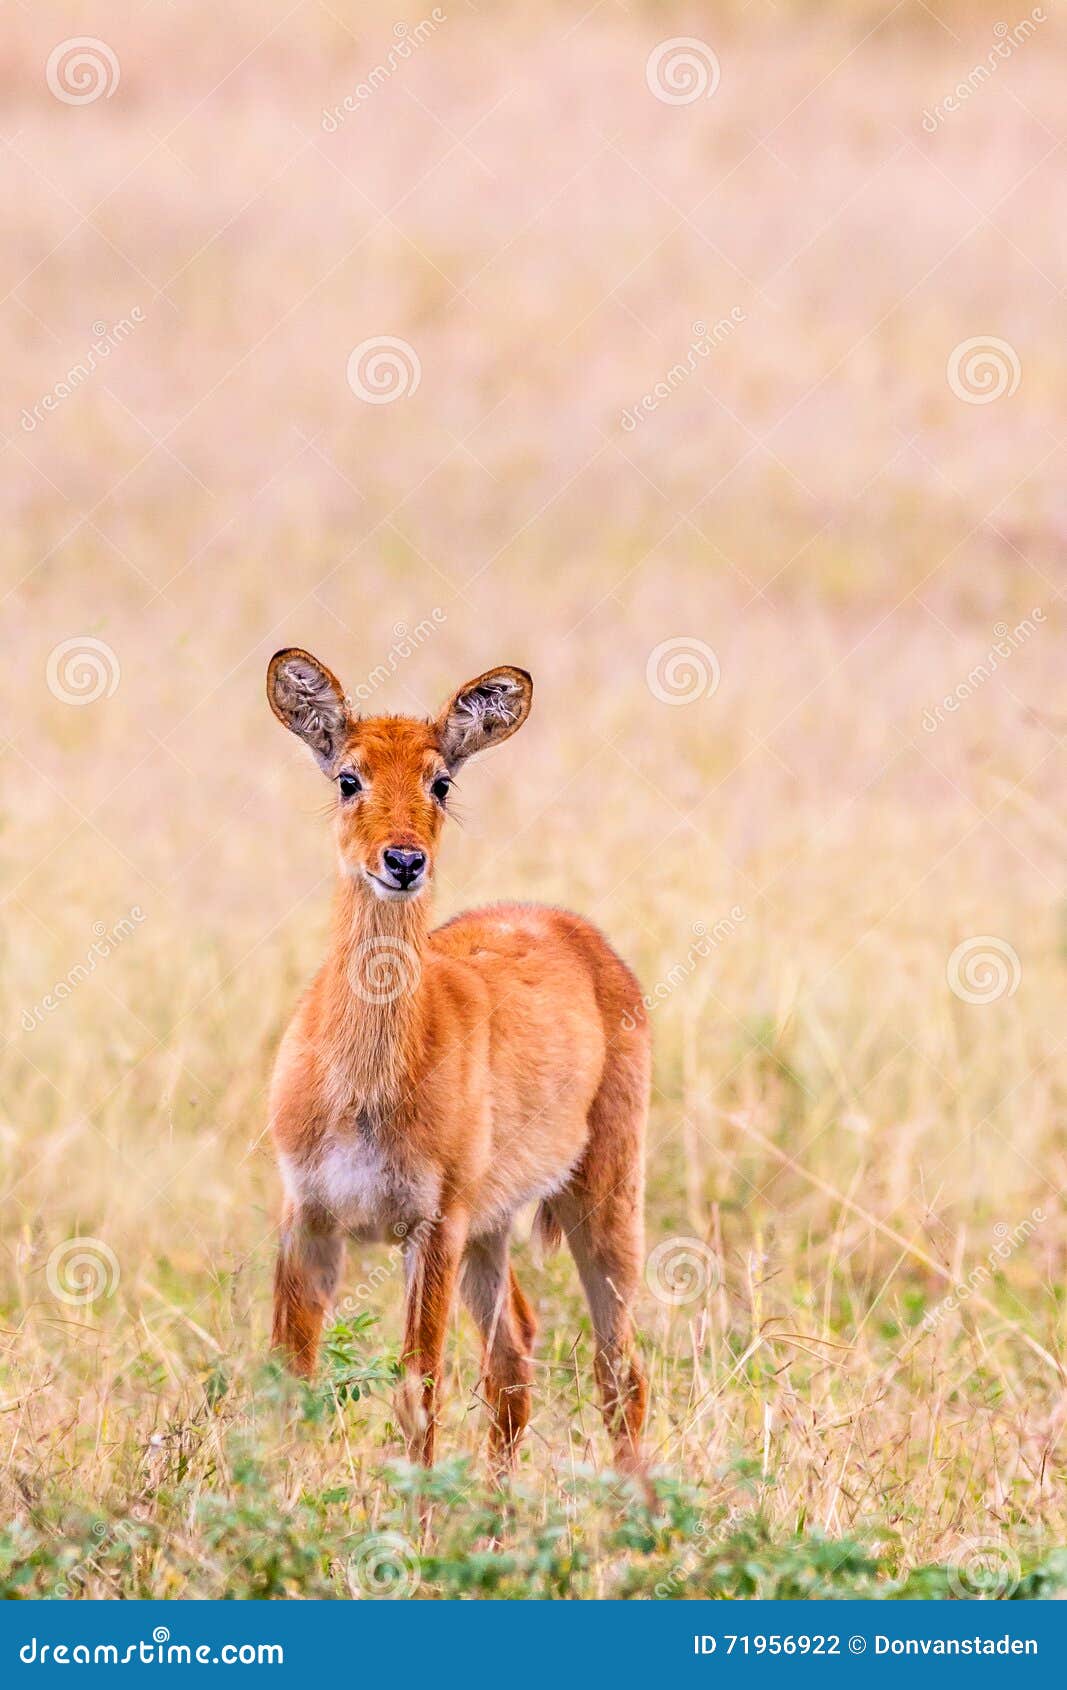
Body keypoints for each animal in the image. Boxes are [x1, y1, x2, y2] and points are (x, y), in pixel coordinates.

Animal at [266, 649, 650, 1475]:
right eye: (348, 776)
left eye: (440, 780)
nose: (404, 860)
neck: (364, 1090)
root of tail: (574, 929)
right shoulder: (308, 1215)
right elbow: (288, 1379)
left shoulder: (430, 1227)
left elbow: (417, 1393)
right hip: (493, 1226)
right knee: (515, 1354)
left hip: (603, 1201)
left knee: (619, 1370)